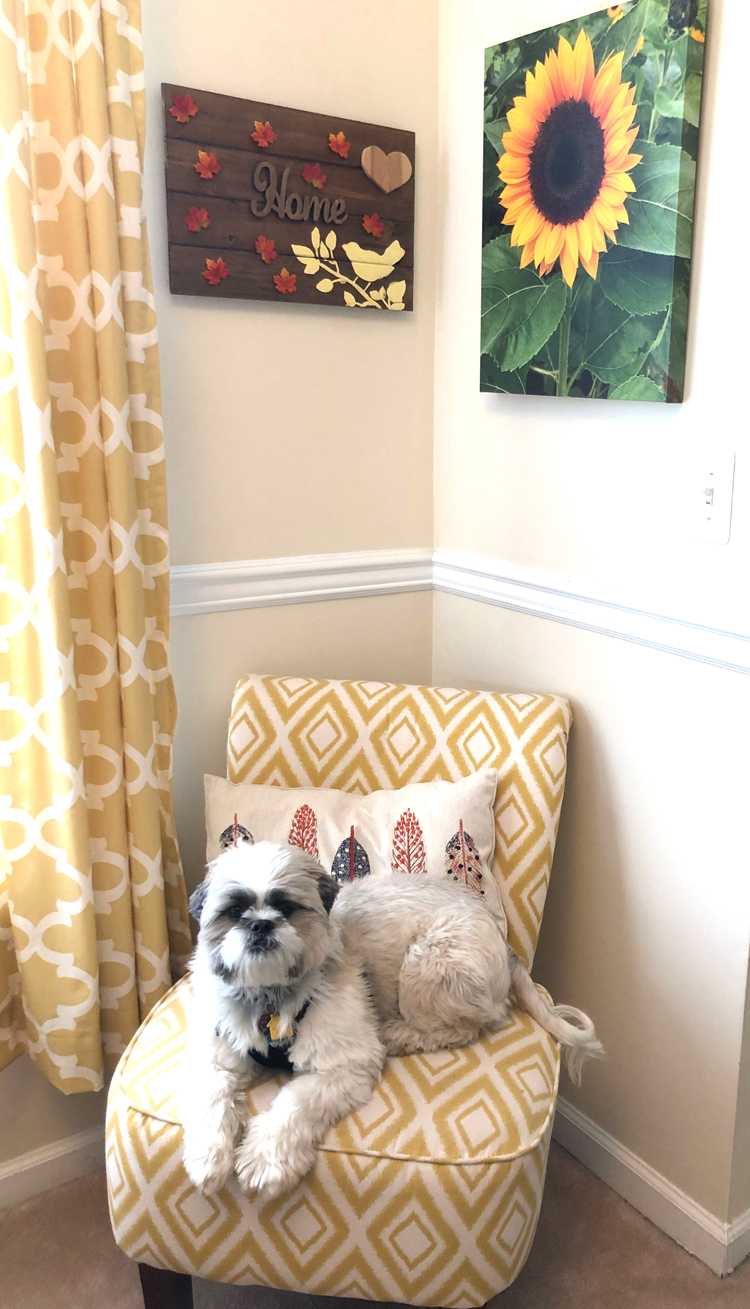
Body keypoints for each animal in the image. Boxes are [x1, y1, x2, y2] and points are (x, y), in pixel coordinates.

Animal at [183, 842, 602, 1199]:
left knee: (465, 1026)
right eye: (233, 912)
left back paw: (399, 1034)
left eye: (286, 907)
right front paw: (207, 1156)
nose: (259, 925)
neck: (269, 997)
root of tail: (503, 941)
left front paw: (266, 1160)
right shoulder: (214, 1055)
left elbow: (295, 1104)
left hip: (428, 962)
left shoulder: (345, 1066)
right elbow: (210, 1096)